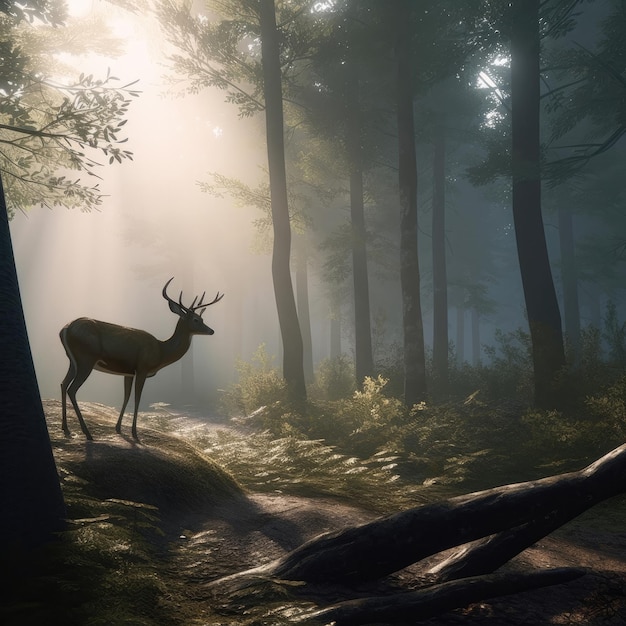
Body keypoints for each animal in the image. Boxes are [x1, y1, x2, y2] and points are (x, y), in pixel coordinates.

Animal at [58, 278, 223, 438]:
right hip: (86, 359)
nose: (211, 331)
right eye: (196, 320)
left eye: (202, 319)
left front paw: (118, 428)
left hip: (73, 361)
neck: (161, 351)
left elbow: (126, 397)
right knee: (72, 389)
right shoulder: (142, 368)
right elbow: (137, 398)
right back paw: (86, 432)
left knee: (63, 383)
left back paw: (66, 428)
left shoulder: (128, 372)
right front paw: (134, 433)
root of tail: (65, 329)